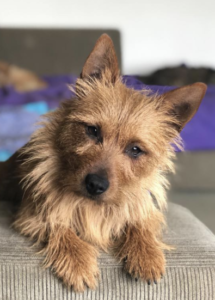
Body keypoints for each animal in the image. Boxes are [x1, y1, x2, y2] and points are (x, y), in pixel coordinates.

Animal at [0, 34, 207, 292]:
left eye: (135, 149)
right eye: (92, 130)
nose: (96, 185)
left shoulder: (143, 208)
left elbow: (140, 224)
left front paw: (147, 254)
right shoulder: (32, 215)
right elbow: (59, 225)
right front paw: (77, 261)